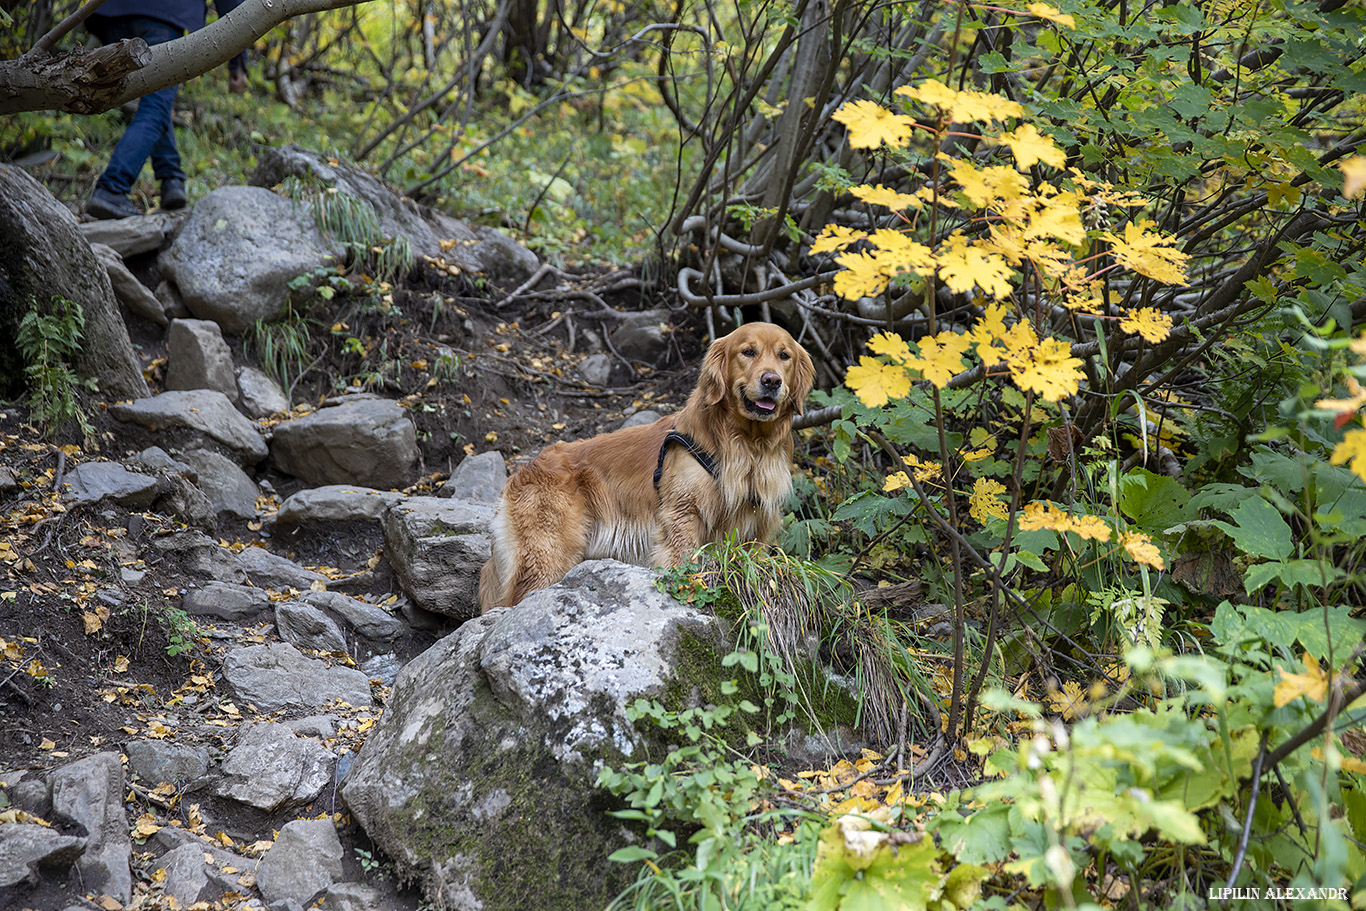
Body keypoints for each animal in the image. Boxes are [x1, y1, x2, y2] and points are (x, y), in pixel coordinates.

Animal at [480, 322, 808, 611]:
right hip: (549, 554)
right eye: (748, 352)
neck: (747, 444)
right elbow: (681, 561)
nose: (771, 381)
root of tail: (524, 470)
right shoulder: (683, 512)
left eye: (784, 356)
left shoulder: (758, 526)